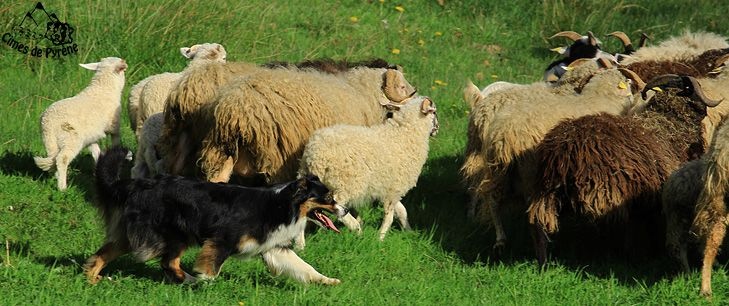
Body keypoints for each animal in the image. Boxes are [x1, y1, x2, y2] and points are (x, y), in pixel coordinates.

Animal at [33, 56, 128, 190]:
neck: (104, 88)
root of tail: (48, 122)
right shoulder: (114, 127)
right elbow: (115, 144)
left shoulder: (91, 136)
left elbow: (96, 153)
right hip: (71, 138)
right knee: (62, 159)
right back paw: (62, 188)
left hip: (49, 140)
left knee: (54, 158)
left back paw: (57, 177)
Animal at [84, 146, 346, 284]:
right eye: (328, 197)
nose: (344, 210)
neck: (283, 205)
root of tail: (138, 184)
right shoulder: (223, 239)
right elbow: (212, 267)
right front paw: (206, 280)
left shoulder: (273, 248)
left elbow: (304, 267)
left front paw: (328, 281)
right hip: (173, 232)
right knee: (168, 261)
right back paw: (192, 281)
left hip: (141, 234)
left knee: (105, 253)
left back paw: (92, 278)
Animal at [298, 94, 438, 245]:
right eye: (434, 112)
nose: (437, 129)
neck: (405, 134)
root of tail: (314, 155)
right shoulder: (393, 189)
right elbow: (389, 216)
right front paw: (380, 238)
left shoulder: (389, 188)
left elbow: (402, 211)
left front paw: (409, 232)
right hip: (344, 184)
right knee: (338, 207)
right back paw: (357, 229)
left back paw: (301, 245)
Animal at [528, 74, 724, 266]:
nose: (706, 110)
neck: (668, 123)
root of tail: (566, 150)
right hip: (606, 193)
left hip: (545, 192)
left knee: (540, 227)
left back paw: (543, 263)